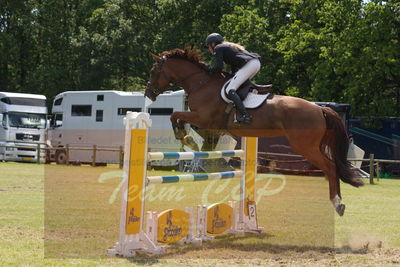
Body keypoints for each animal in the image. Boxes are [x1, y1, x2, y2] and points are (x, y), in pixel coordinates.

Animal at [145, 46, 362, 218]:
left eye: (154, 70)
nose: (148, 93)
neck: (201, 84)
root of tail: (319, 109)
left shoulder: (203, 118)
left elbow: (176, 116)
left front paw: (185, 137)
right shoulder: (210, 124)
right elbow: (189, 125)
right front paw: (192, 141)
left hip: (305, 147)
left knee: (330, 166)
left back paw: (337, 202)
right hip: (314, 145)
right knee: (333, 165)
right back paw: (339, 202)